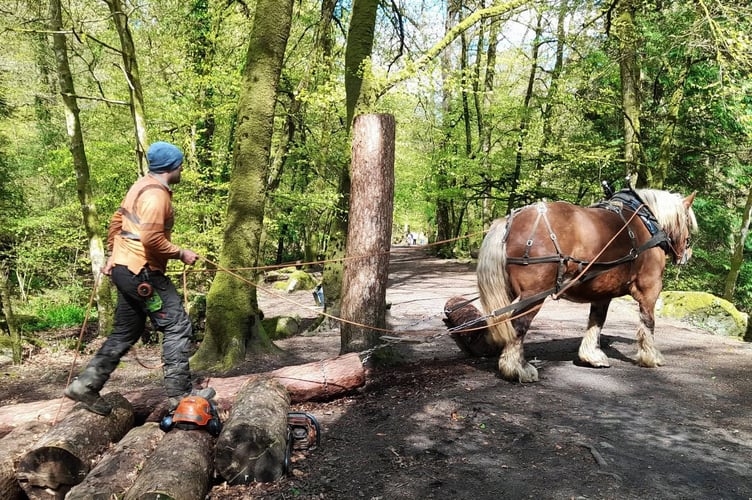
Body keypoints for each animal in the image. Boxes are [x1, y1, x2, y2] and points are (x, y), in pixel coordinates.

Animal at [476, 188, 697, 382]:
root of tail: (509, 222)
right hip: (533, 295)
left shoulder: (602, 292)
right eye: (688, 221)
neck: (647, 223)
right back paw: (517, 368)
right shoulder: (650, 288)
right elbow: (648, 322)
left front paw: (591, 355)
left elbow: (596, 321)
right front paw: (651, 357)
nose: (687, 254)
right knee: (518, 326)